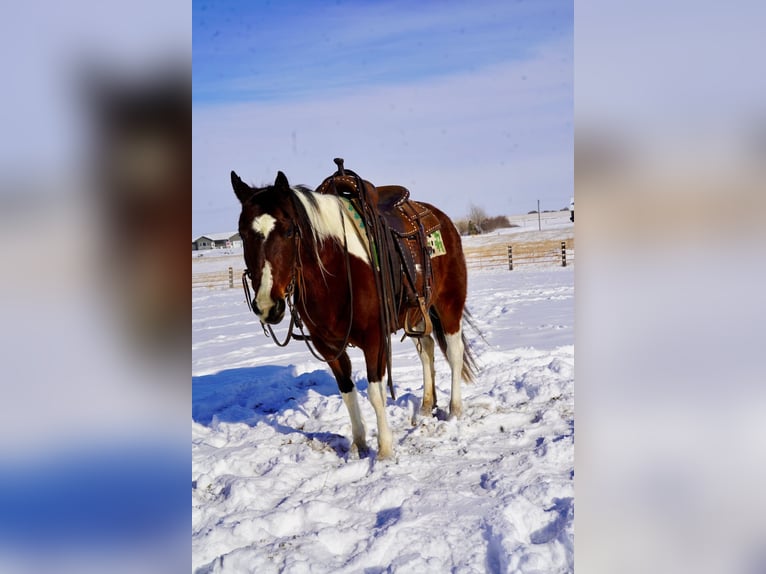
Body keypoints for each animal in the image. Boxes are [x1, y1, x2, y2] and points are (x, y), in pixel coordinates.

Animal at [231, 166, 476, 460]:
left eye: (289, 231)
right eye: (243, 234)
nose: (268, 304)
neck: (335, 272)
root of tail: (441, 218)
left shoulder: (375, 340)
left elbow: (375, 392)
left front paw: (384, 450)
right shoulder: (329, 347)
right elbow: (347, 391)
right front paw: (359, 446)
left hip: (448, 304)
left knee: (454, 353)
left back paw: (454, 410)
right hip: (417, 314)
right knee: (426, 351)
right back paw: (427, 405)